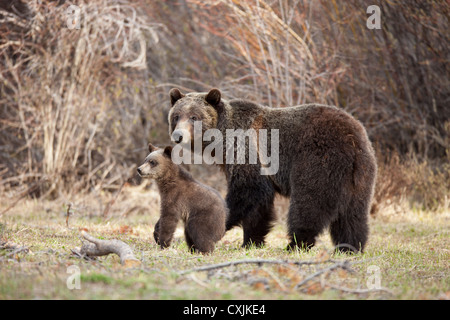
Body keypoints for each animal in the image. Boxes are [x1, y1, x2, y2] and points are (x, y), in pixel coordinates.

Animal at [167, 88, 374, 252]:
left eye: (194, 117)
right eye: (176, 116)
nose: (178, 135)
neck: (221, 140)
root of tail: (352, 138)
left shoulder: (247, 151)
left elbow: (248, 193)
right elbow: (259, 208)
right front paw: (251, 242)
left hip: (317, 161)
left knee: (309, 204)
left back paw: (296, 244)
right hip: (360, 175)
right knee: (353, 214)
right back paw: (349, 247)